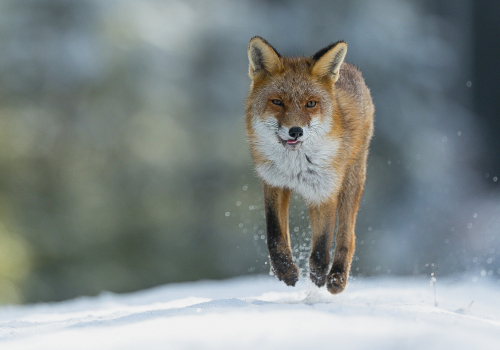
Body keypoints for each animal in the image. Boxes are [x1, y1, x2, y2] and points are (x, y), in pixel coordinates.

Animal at [244, 36, 374, 292]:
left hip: (351, 182)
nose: (295, 130)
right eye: (277, 102)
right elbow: (275, 236)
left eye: (311, 104)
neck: (295, 166)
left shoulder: (324, 191)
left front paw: (318, 277)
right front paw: (285, 271)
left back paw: (336, 277)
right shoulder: (274, 183)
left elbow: (321, 248)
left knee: (347, 237)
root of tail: (350, 69)